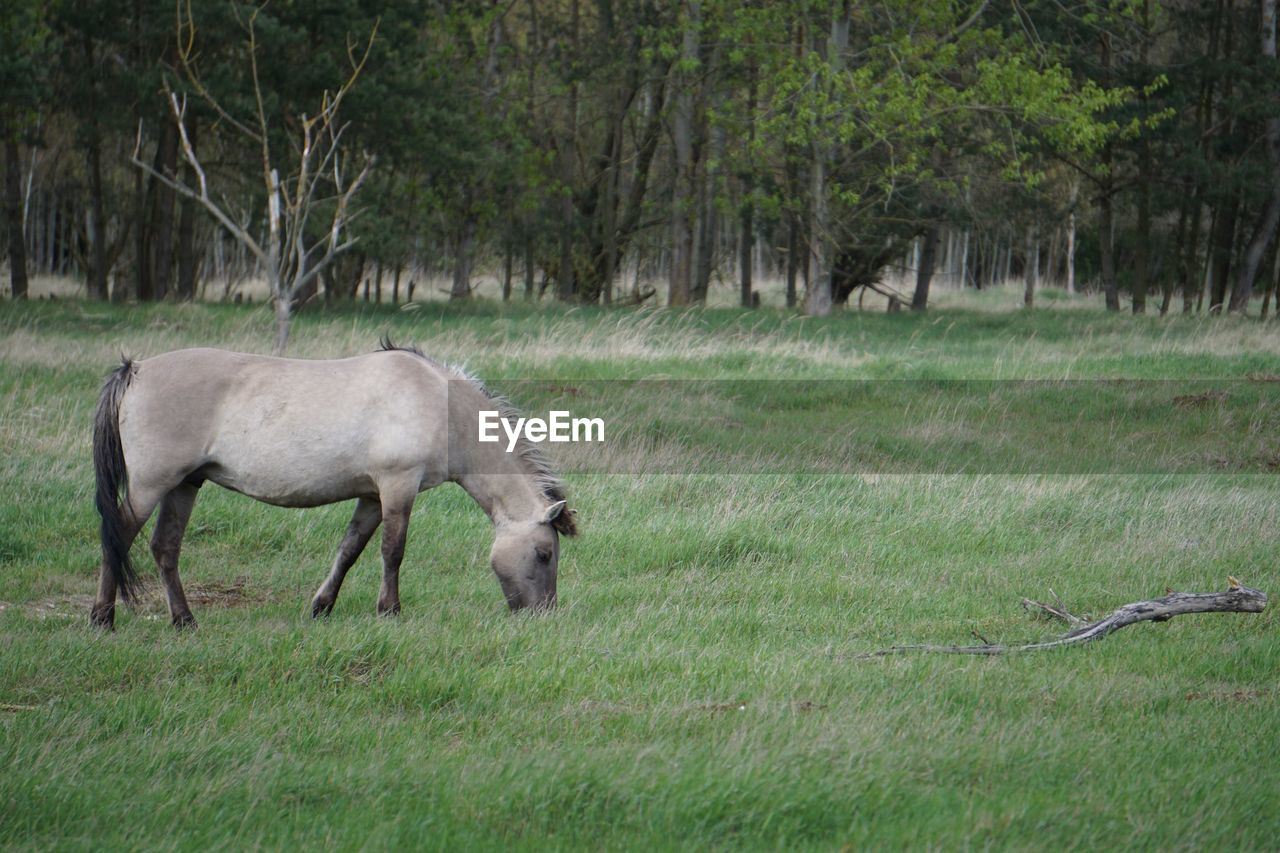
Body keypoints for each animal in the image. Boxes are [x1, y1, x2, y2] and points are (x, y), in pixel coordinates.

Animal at [93, 343, 581, 627]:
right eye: (544, 554)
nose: (543, 614)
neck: (437, 402)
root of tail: (135, 370)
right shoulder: (397, 487)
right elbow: (392, 552)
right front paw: (390, 612)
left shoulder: (371, 496)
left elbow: (349, 550)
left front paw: (321, 607)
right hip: (151, 487)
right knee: (119, 538)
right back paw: (102, 618)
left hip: (184, 485)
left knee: (165, 548)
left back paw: (184, 620)